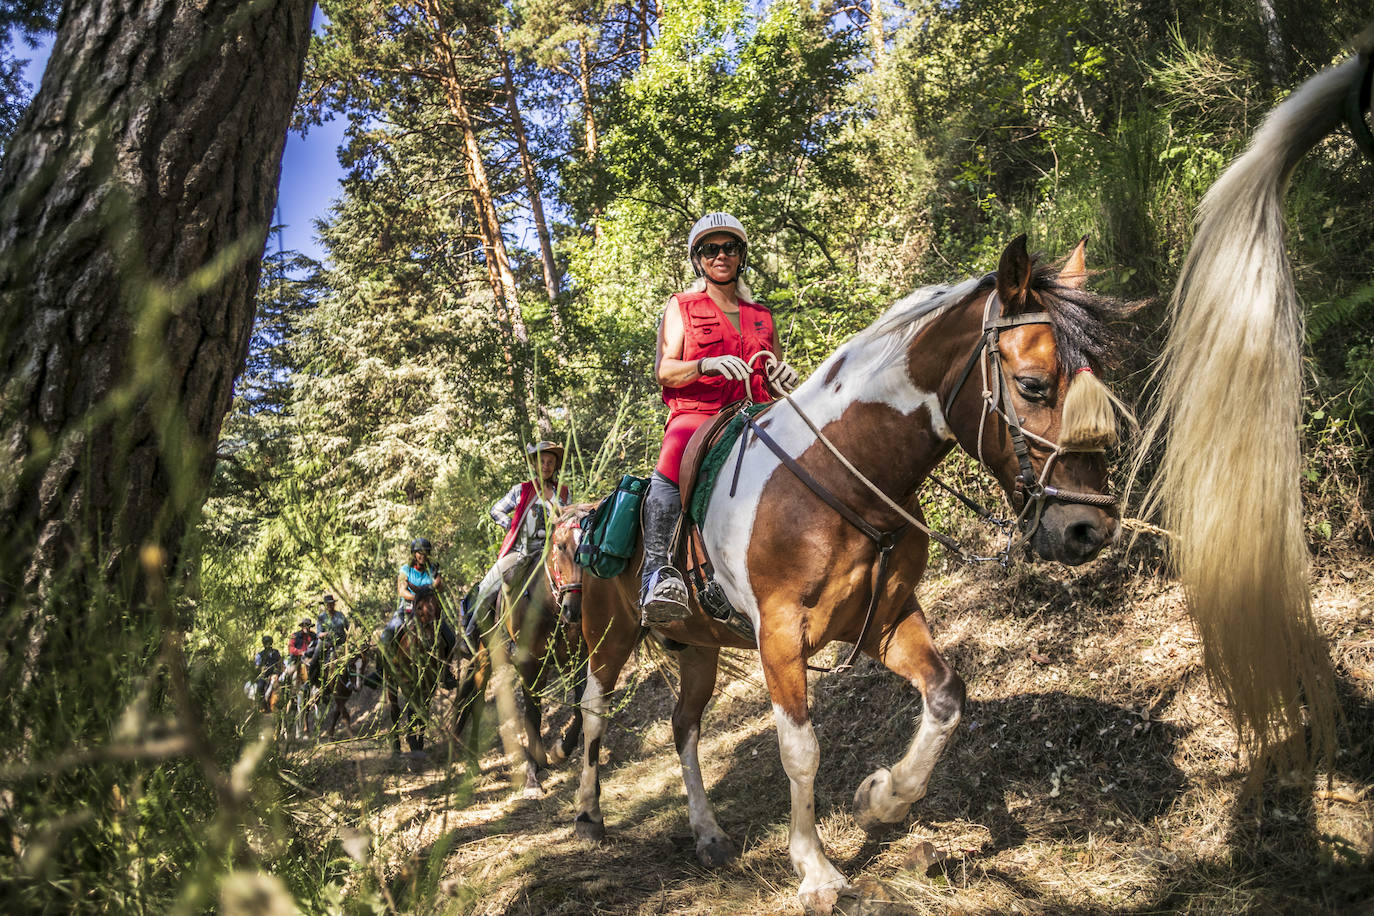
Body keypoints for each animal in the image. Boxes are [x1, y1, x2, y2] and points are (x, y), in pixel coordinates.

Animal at [557, 234, 1126, 911]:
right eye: (1034, 385)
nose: (1088, 529)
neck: (840, 476)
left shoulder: (884, 618)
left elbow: (945, 697)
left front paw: (881, 799)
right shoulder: (779, 636)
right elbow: (801, 750)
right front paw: (817, 871)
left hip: (698, 648)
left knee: (684, 728)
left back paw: (709, 833)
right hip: (609, 632)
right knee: (594, 707)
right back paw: (588, 813)